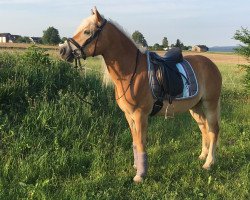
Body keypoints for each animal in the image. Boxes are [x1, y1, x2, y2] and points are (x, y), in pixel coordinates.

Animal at [59, 7, 222, 183]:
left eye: (87, 31)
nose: (62, 50)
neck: (132, 71)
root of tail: (211, 65)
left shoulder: (140, 115)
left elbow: (141, 143)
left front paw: (140, 175)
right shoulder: (128, 116)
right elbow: (135, 142)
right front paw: (136, 166)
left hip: (210, 103)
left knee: (213, 130)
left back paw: (209, 162)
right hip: (195, 106)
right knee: (203, 127)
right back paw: (202, 155)